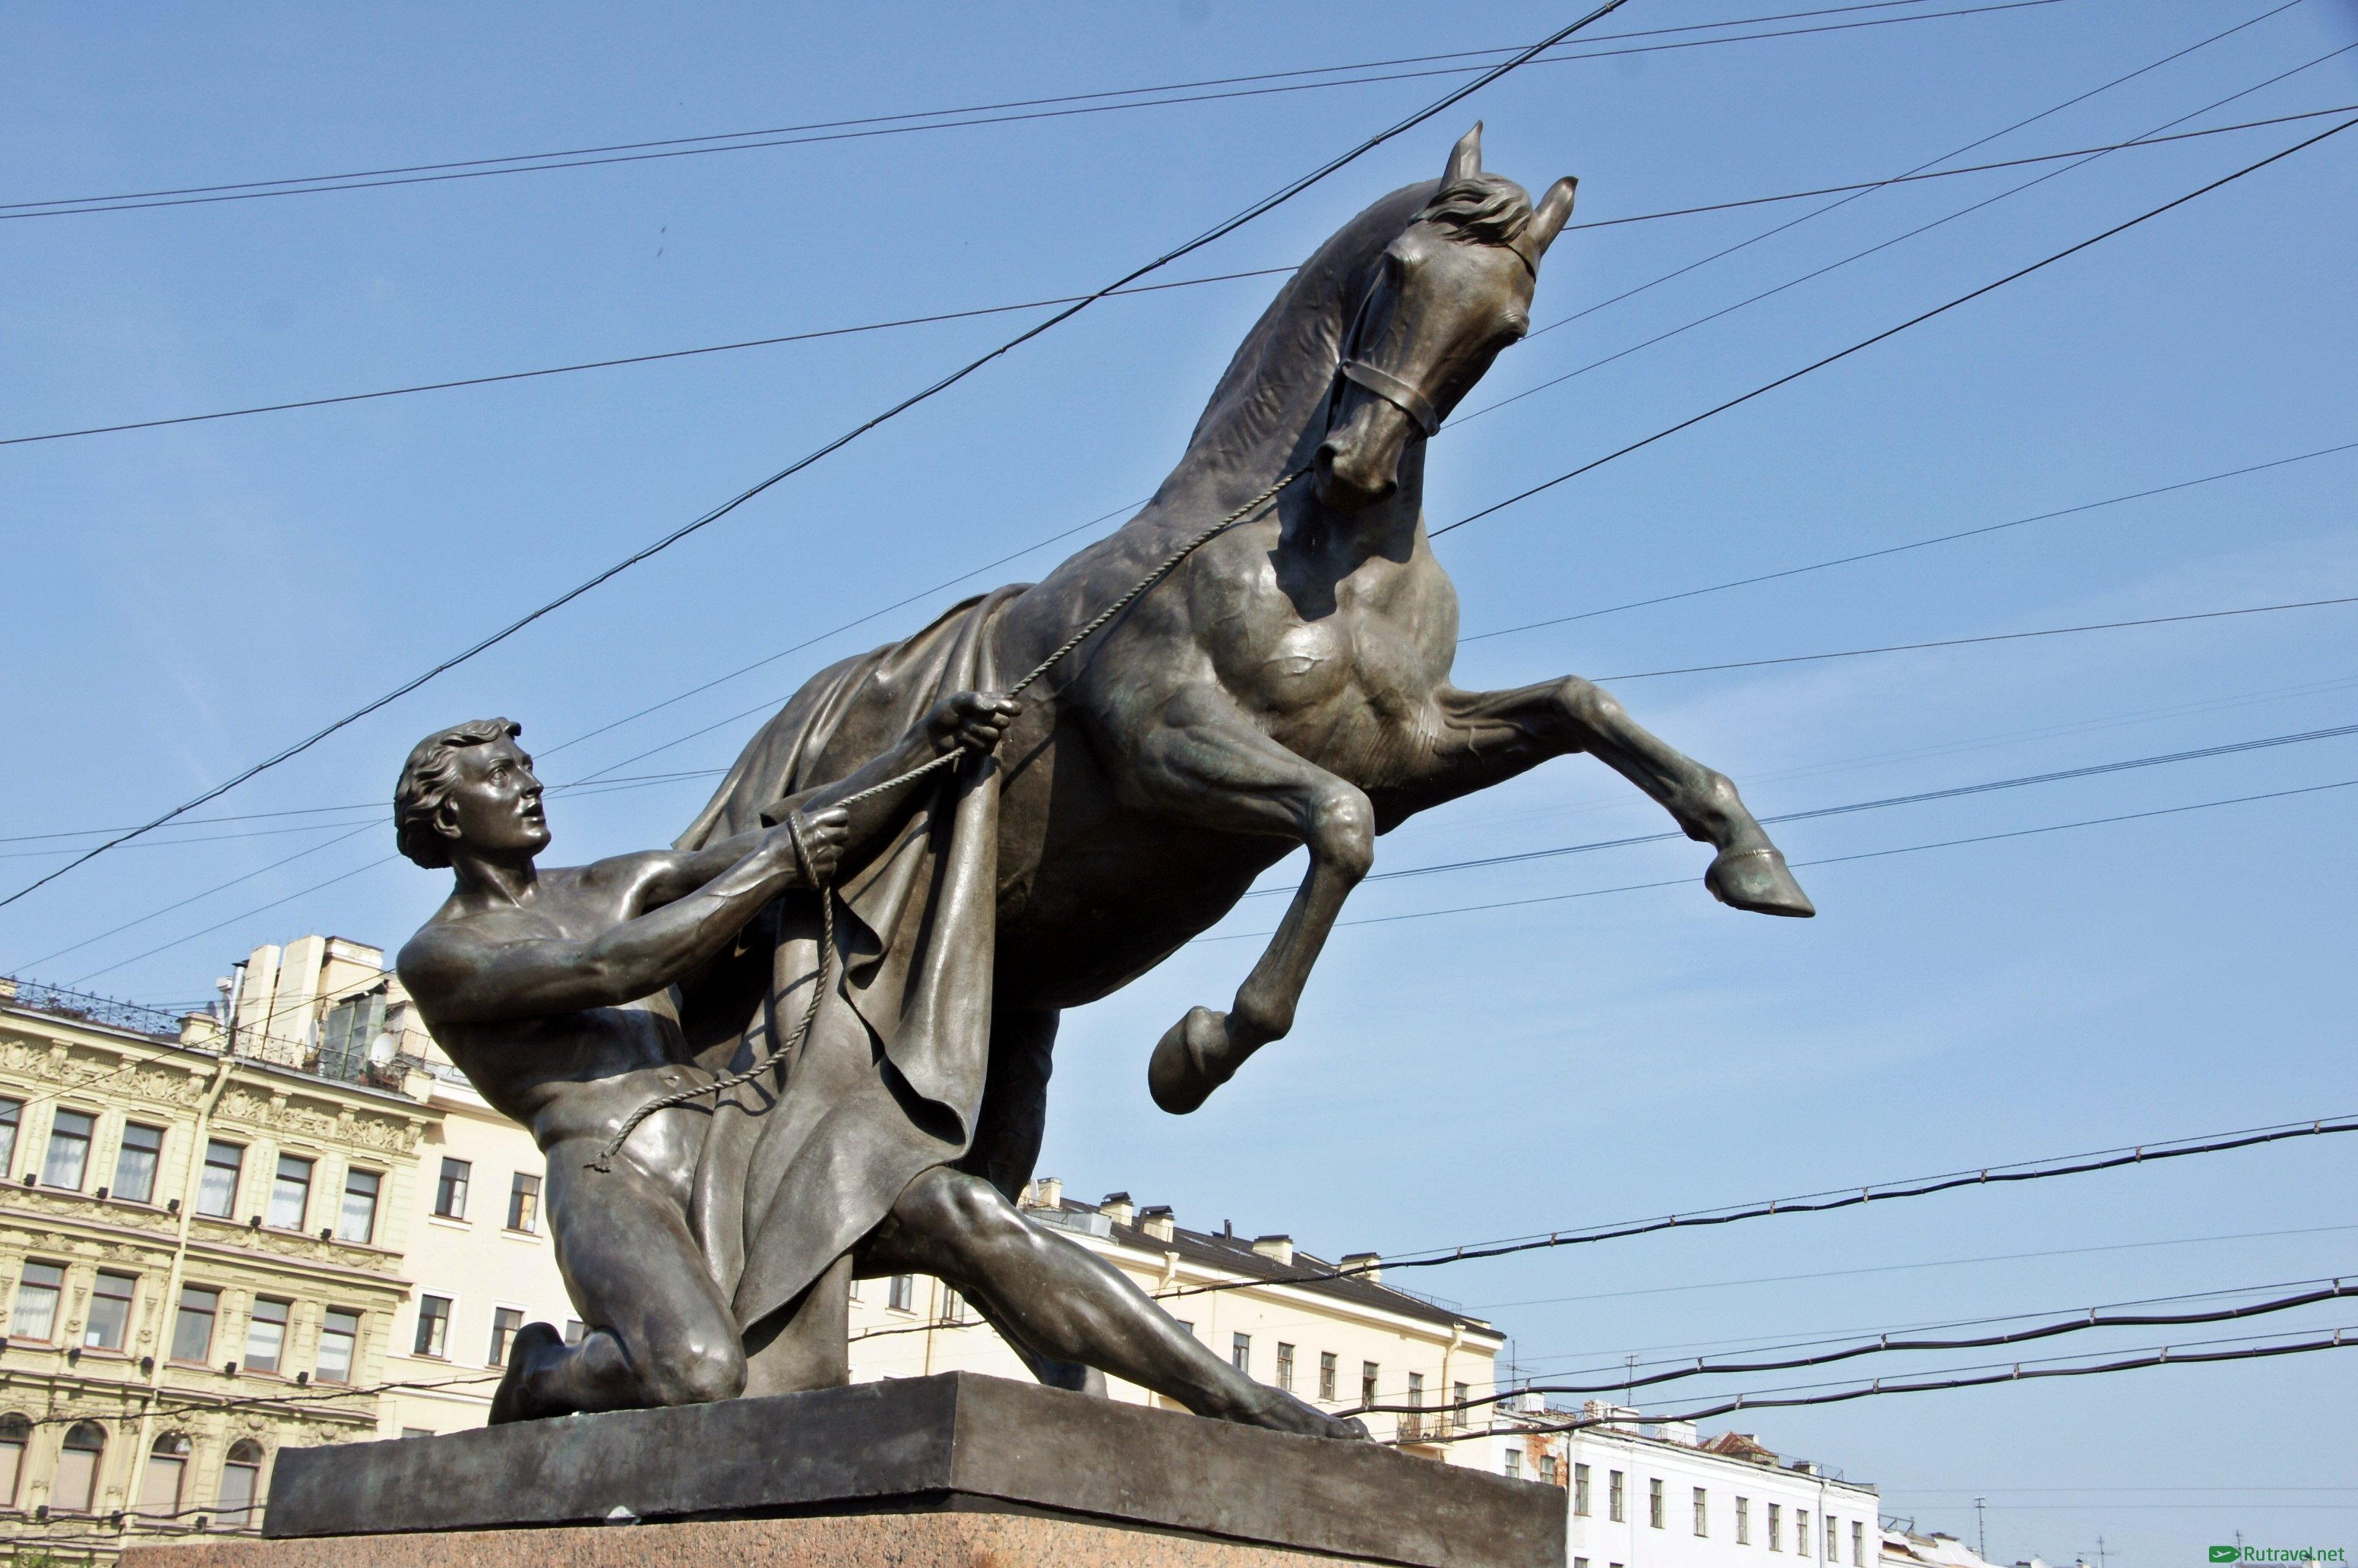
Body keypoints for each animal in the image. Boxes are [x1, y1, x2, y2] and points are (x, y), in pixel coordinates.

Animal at [688, 128, 1810, 1160]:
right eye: (1400, 269)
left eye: (1507, 325)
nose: (1356, 463)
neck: (1324, 558)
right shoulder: (1164, 747)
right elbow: (1339, 828)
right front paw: (1194, 1053)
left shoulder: (1414, 751)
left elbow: (1580, 702)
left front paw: (1751, 860)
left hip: (1014, 1018)